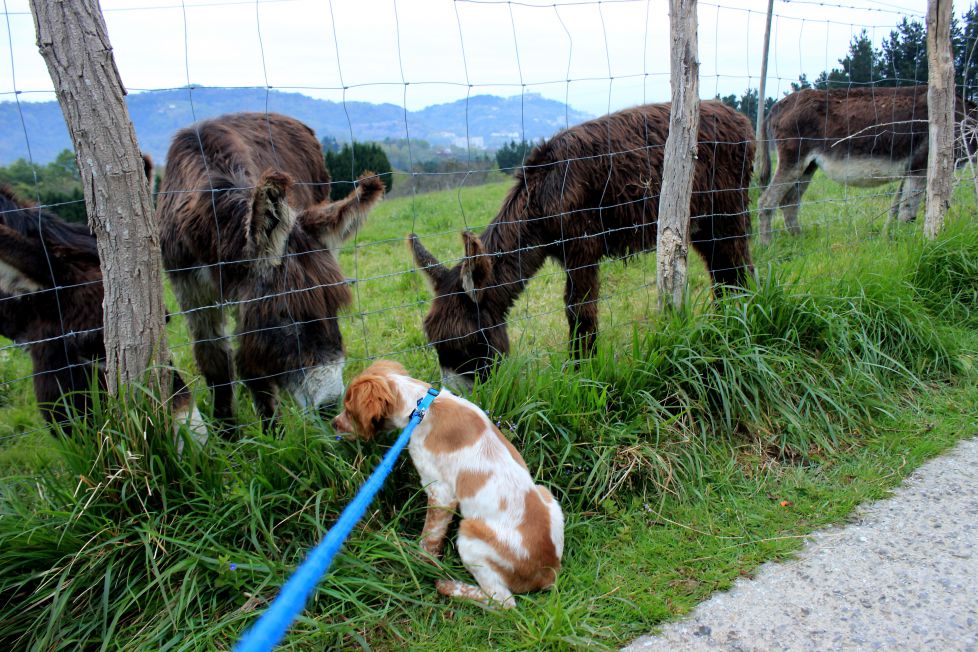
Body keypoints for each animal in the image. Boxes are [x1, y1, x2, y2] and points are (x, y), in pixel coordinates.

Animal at [334, 360, 564, 608]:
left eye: (349, 410)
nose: (333, 423)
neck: (421, 405)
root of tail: (548, 573)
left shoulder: (440, 492)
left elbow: (429, 538)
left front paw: (418, 565)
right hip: (546, 494)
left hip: (470, 538)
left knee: (502, 601)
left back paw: (449, 586)